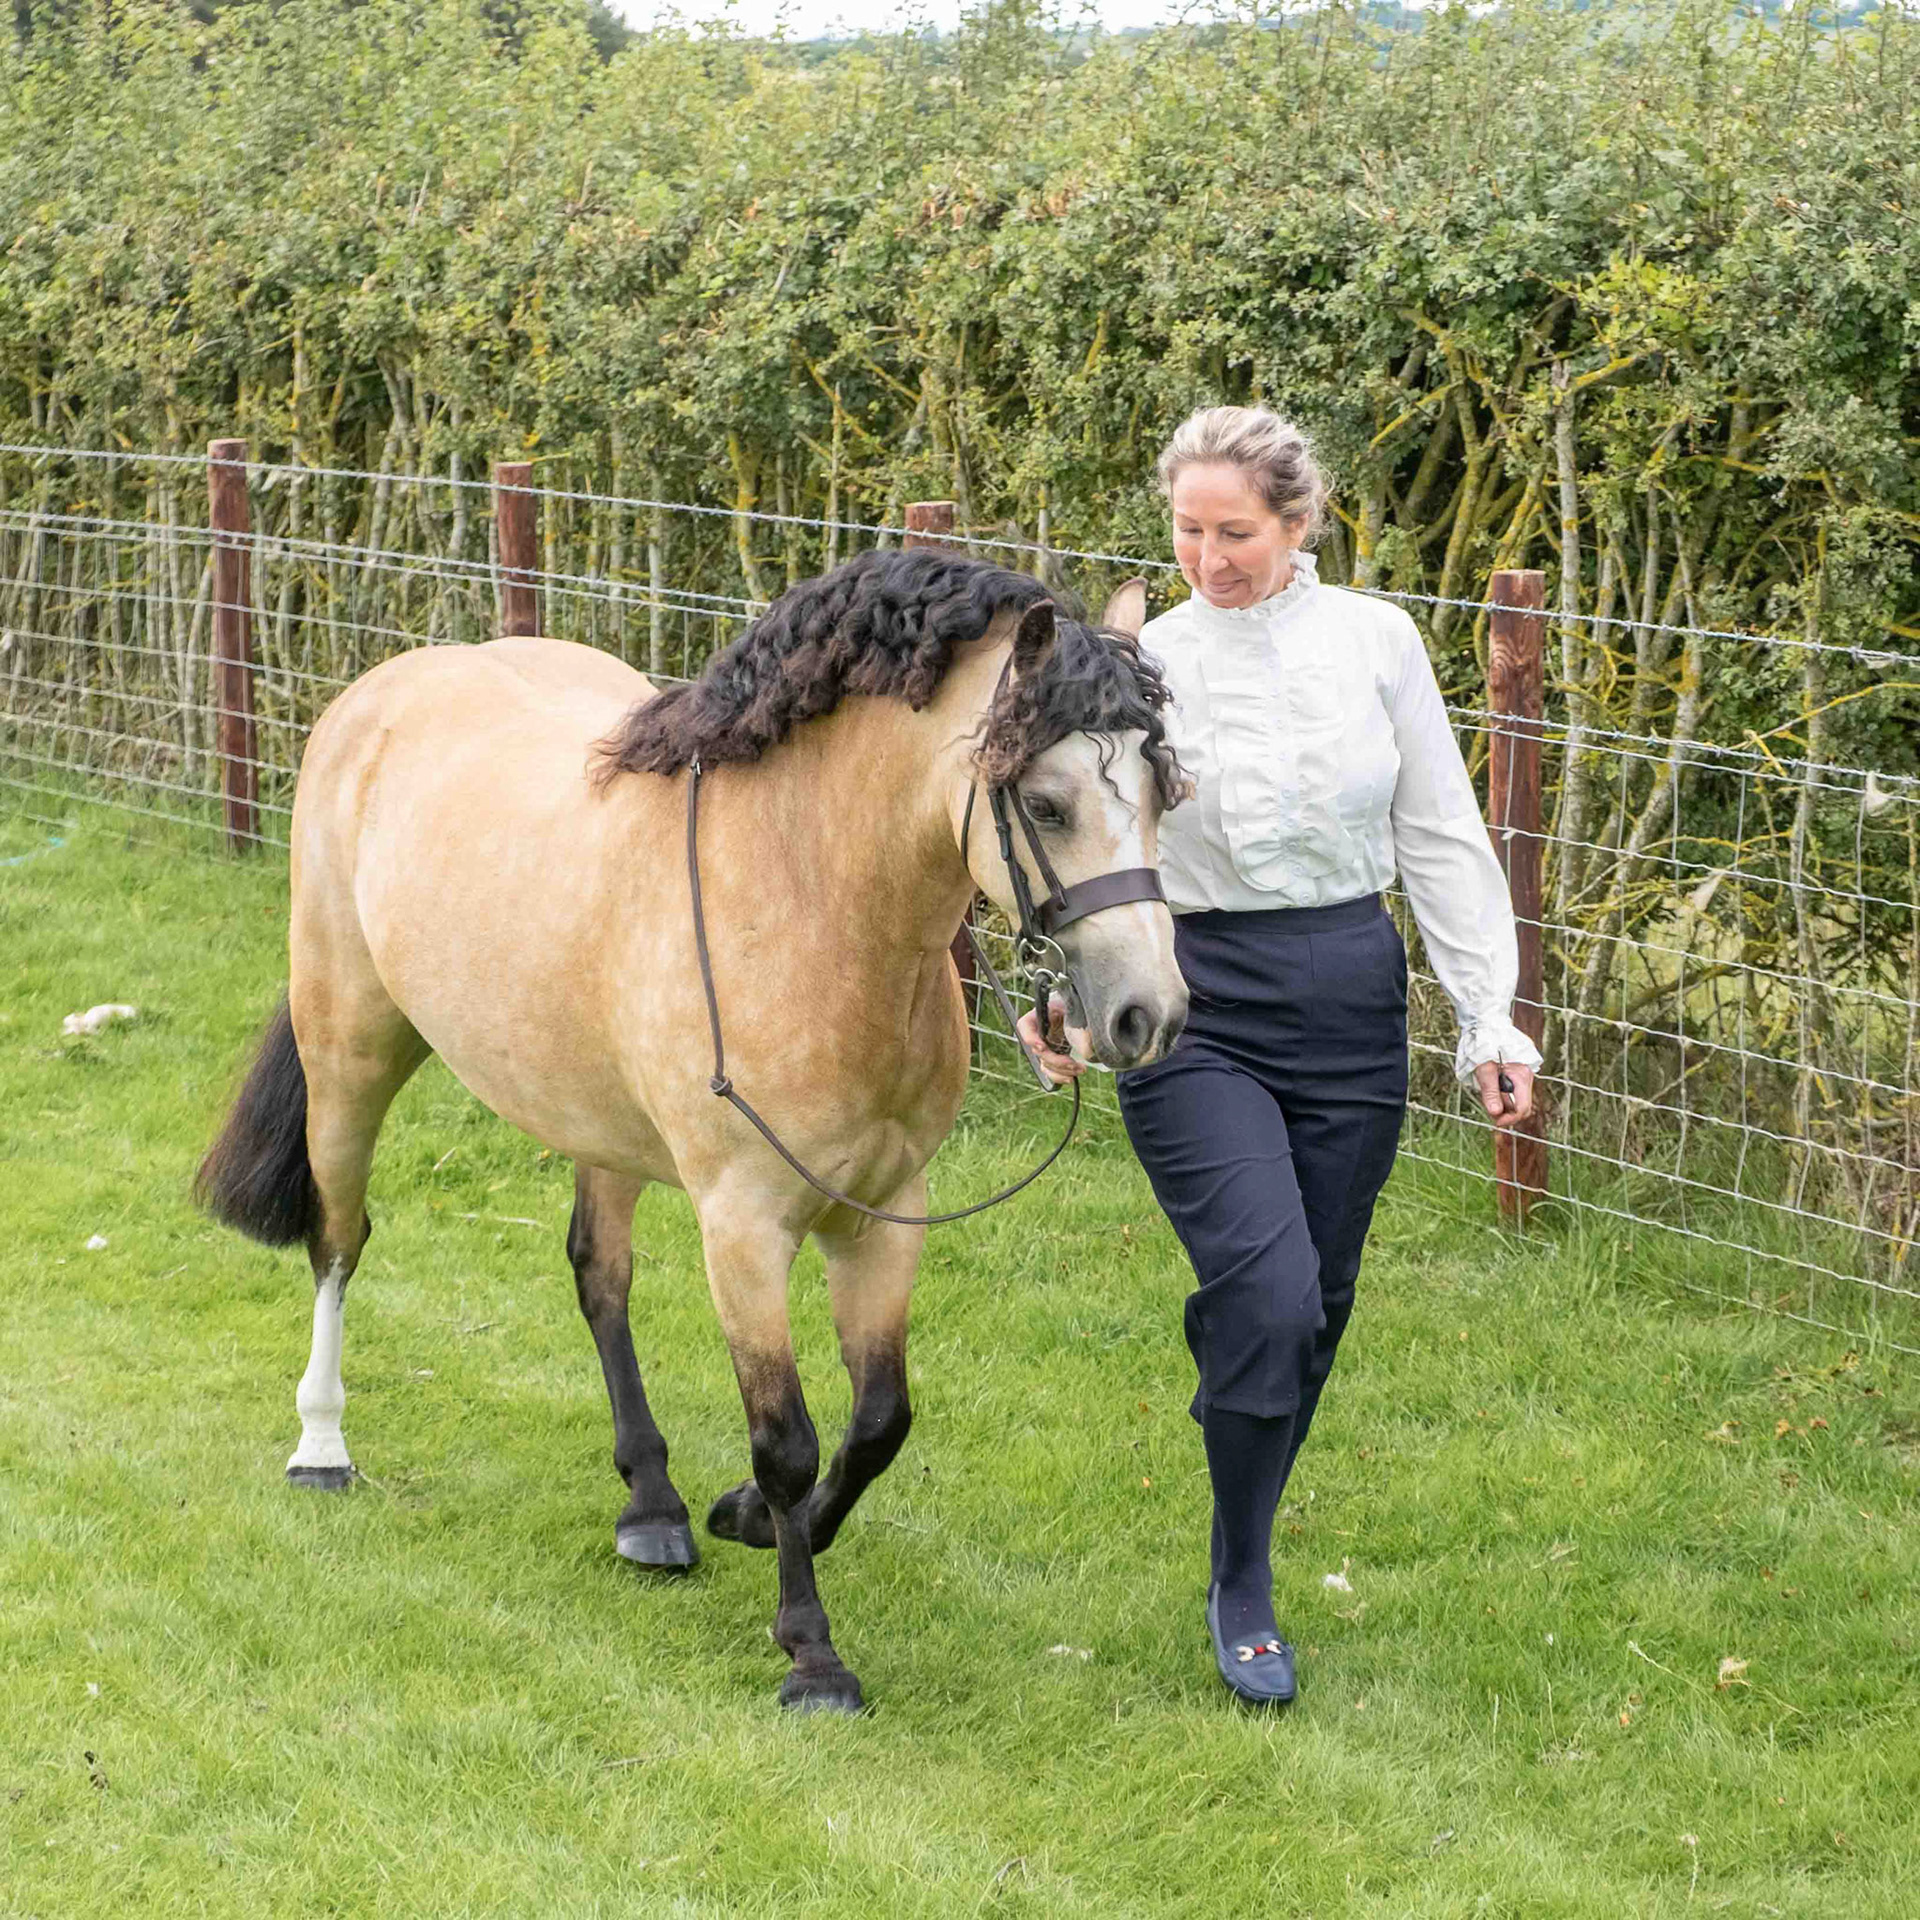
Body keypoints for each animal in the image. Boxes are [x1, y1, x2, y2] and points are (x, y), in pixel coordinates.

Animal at [195, 547, 1189, 1714]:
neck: (806, 903)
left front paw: (752, 1521)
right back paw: (321, 1444)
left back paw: (652, 1507)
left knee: (599, 1275)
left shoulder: (884, 1212)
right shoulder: (743, 1226)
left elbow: (880, 1419)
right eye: (1045, 801)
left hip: (597, 1125)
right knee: (339, 1240)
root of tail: (384, 690)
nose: (1147, 1015)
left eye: (1164, 792)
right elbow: (788, 1437)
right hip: (350, 1047)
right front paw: (811, 1653)